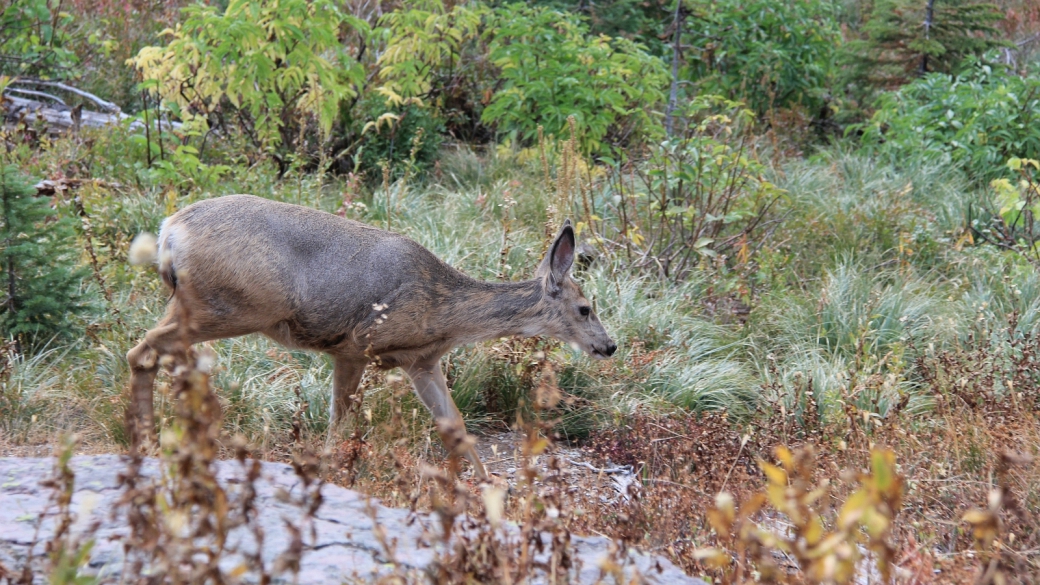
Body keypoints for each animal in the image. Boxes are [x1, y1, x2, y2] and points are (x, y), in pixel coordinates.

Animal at [128, 193, 615, 476]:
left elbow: (455, 426)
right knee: (143, 351)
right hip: (233, 305)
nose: (608, 345)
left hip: (197, 304)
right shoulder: (355, 345)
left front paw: (488, 490)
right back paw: (155, 438)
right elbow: (339, 420)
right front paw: (325, 470)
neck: (442, 310)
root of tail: (169, 230)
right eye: (585, 308)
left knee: (156, 353)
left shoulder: (421, 361)